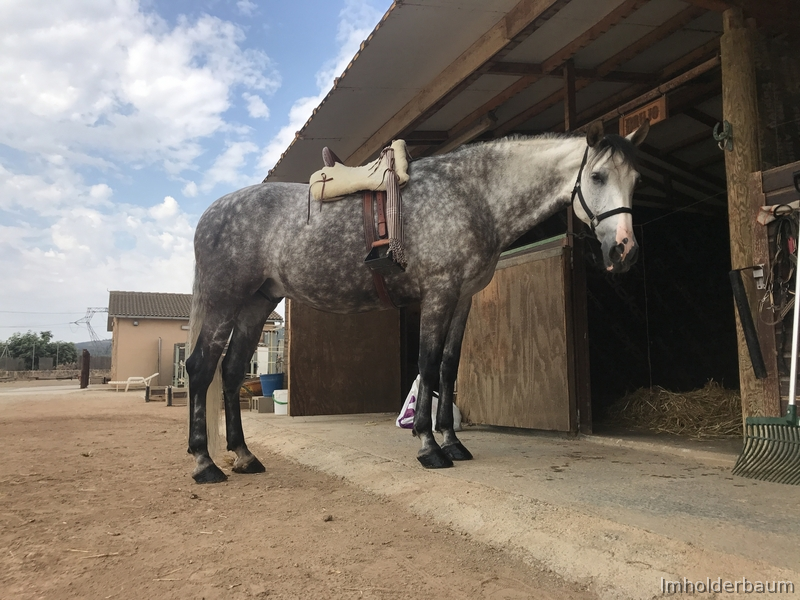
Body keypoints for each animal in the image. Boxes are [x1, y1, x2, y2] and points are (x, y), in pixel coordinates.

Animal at [186, 120, 649, 483]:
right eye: (598, 177)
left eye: (636, 180)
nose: (624, 251)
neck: (473, 196)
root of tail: (209, 214)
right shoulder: (439, 292)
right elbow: (426, 363)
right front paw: (429, 447)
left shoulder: (462, 298)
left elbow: (447, 366)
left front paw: (453, 442)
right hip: (225, 301)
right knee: (201, 367)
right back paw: (205, 464)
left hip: (256, 304)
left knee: (230, 371)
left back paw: (244, 456)